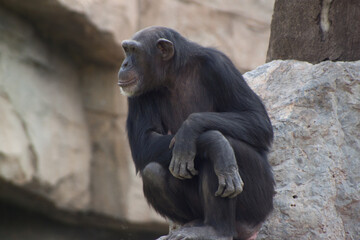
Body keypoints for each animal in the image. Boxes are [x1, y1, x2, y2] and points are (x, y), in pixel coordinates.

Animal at [117, 26, 272, 240]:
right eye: (126, 50)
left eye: (134, 50)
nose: (124, 64)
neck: (173, 74)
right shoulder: (137, 93)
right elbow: (144, 142)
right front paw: (212, 141)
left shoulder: (220, 66)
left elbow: (256, 118)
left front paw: (195, 130)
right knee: (152, 172)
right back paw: (196, 224)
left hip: (259, 204)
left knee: (229, 149)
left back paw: (216, 230)